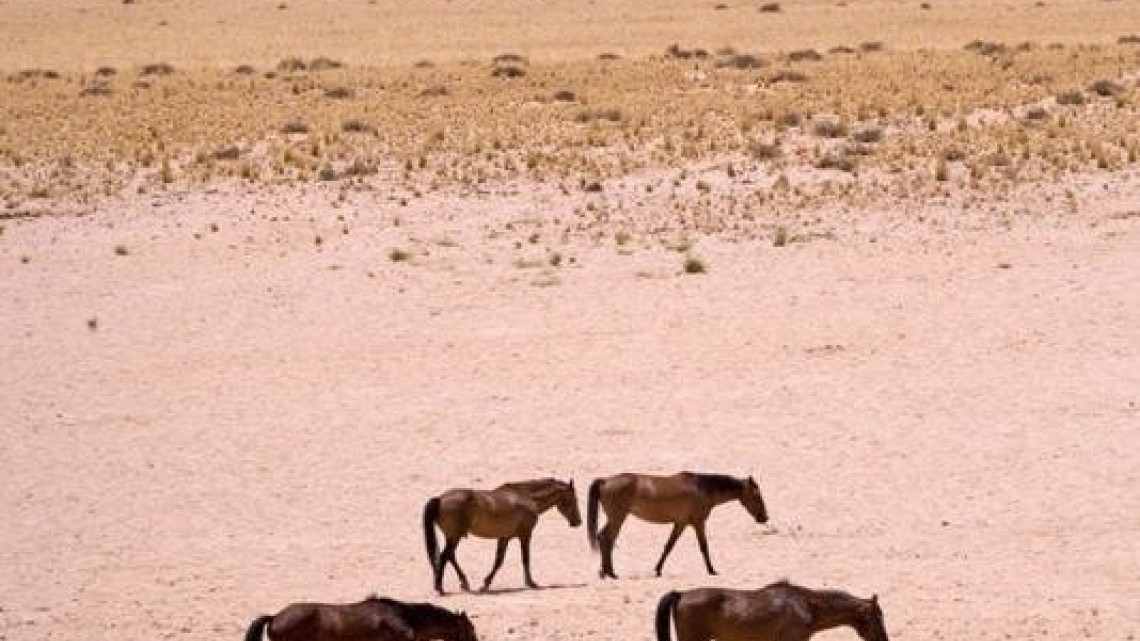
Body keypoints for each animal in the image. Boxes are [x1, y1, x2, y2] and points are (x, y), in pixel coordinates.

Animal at [423, 477, 581, 594]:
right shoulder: (525, 534)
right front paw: (531, 583)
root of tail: (440, 499)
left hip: (453, 537)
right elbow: (525, 558)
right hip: (455, 537)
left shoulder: (504, 538)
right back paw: (440, 587)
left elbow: (498, 561)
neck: (526, 496)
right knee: (445, 556)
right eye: (573, 499)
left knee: (450, 556)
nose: (578, 522)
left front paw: (485, 584)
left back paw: (464, 583)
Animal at [586, 472, 767, 578]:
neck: (701, 487)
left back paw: (606, 572)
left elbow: (669, 546)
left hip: (616, 518)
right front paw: (712, 570)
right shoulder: (698, 523)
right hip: (618, 517)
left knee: (604, 539)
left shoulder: (681, 523)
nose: (765, 517)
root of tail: (605, 481)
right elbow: (703, 547)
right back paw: (609, 572)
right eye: (757, 495)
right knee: (606, 539)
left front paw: (658, 570)